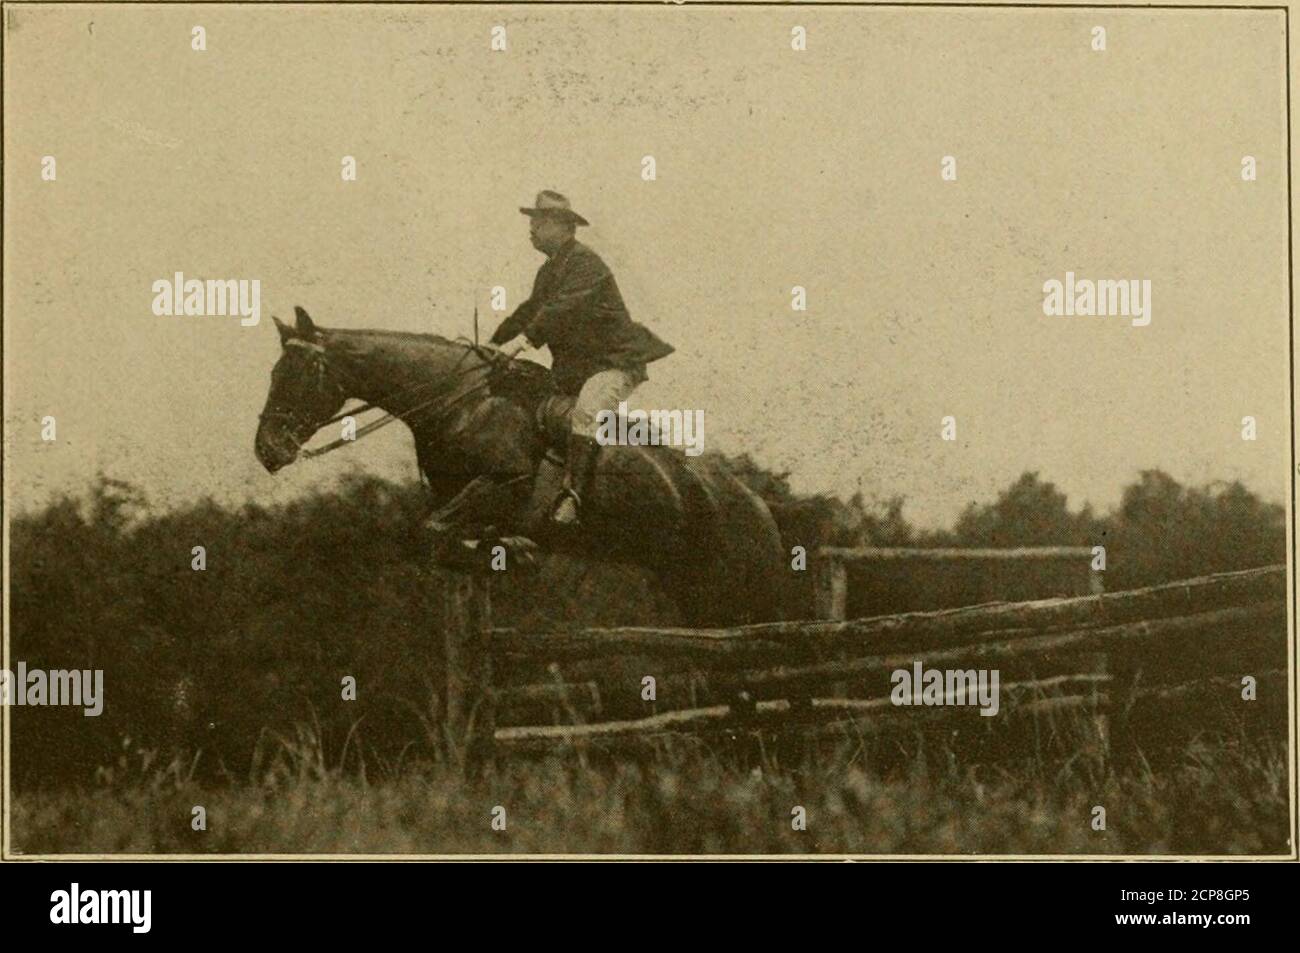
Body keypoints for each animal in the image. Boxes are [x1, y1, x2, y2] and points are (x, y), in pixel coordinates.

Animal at [250, 308, 780, 629]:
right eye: (274, 374)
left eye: (299, 375)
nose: (267, 450)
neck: (460, 400)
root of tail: (759, 506)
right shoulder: (462, 505)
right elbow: (436, 539)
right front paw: (506, 552)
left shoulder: (505, 483)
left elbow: (430, 532)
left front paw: (517, 552)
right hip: (693, 590)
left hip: (734, 588)